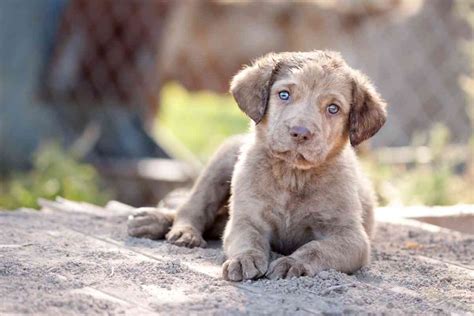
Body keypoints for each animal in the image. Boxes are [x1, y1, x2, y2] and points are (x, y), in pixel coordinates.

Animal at [128, 50, 386, 282]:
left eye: (333, 108)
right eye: (284, 94)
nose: (300, 132)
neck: (291, 176)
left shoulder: (351, 237)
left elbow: (316, 249)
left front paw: (292, 263)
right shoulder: (246, 219)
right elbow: (249, 240)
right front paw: (245, 259)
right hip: (224, 159)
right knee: (194, 206)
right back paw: (172, 227)